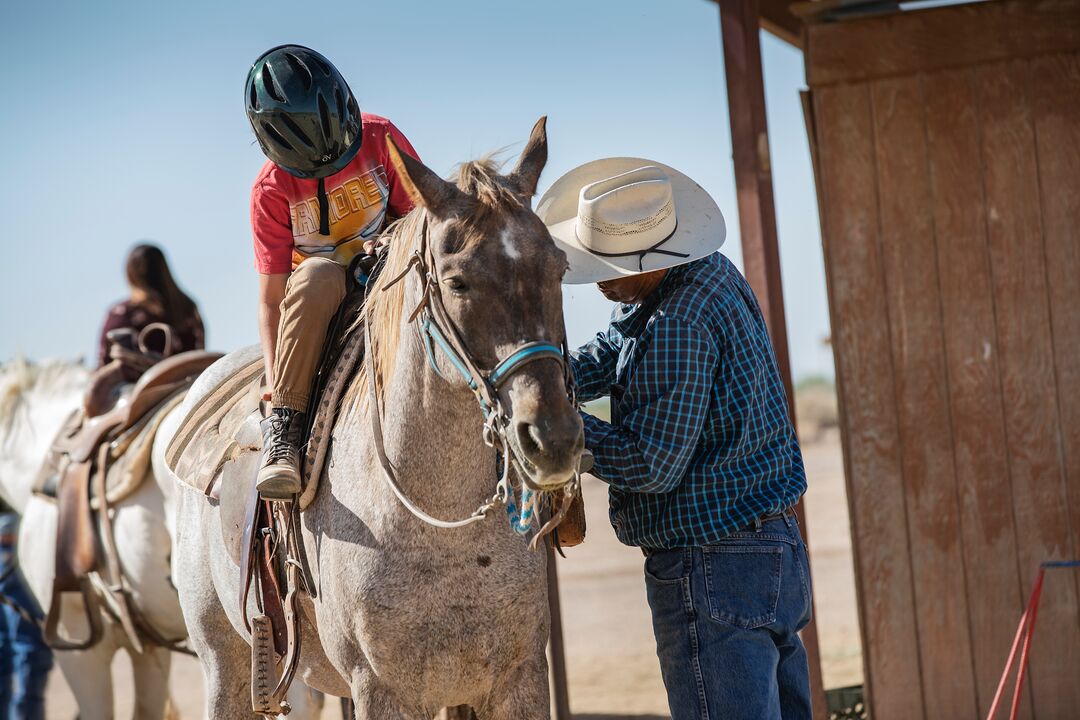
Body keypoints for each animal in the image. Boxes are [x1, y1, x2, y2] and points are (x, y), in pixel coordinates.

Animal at [158, 119, 583, 720]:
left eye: (559, 267)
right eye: (457, 282)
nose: (552, 437)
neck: (440, 528)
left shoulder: (517, 681)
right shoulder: (382, 690)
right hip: (224, 663)